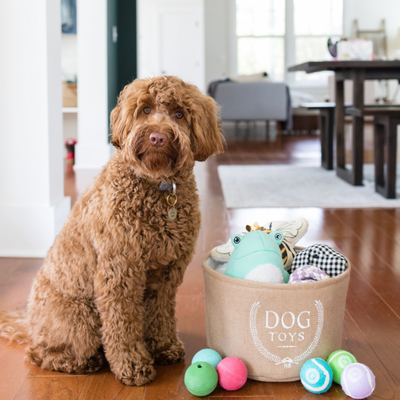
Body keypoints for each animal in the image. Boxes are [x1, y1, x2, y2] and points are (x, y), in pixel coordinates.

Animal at [0, 76, 224, 386]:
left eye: (179, 114)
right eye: (145, 110)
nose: (157, 137)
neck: (158, 185)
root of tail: (30, 322)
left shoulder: (167, 273)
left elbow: (161, 313)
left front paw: (163, 346)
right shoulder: (120, 271)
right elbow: (122, 325)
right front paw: (132, 365)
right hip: (80, 316)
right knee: (39, 353)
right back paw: (83, 361)